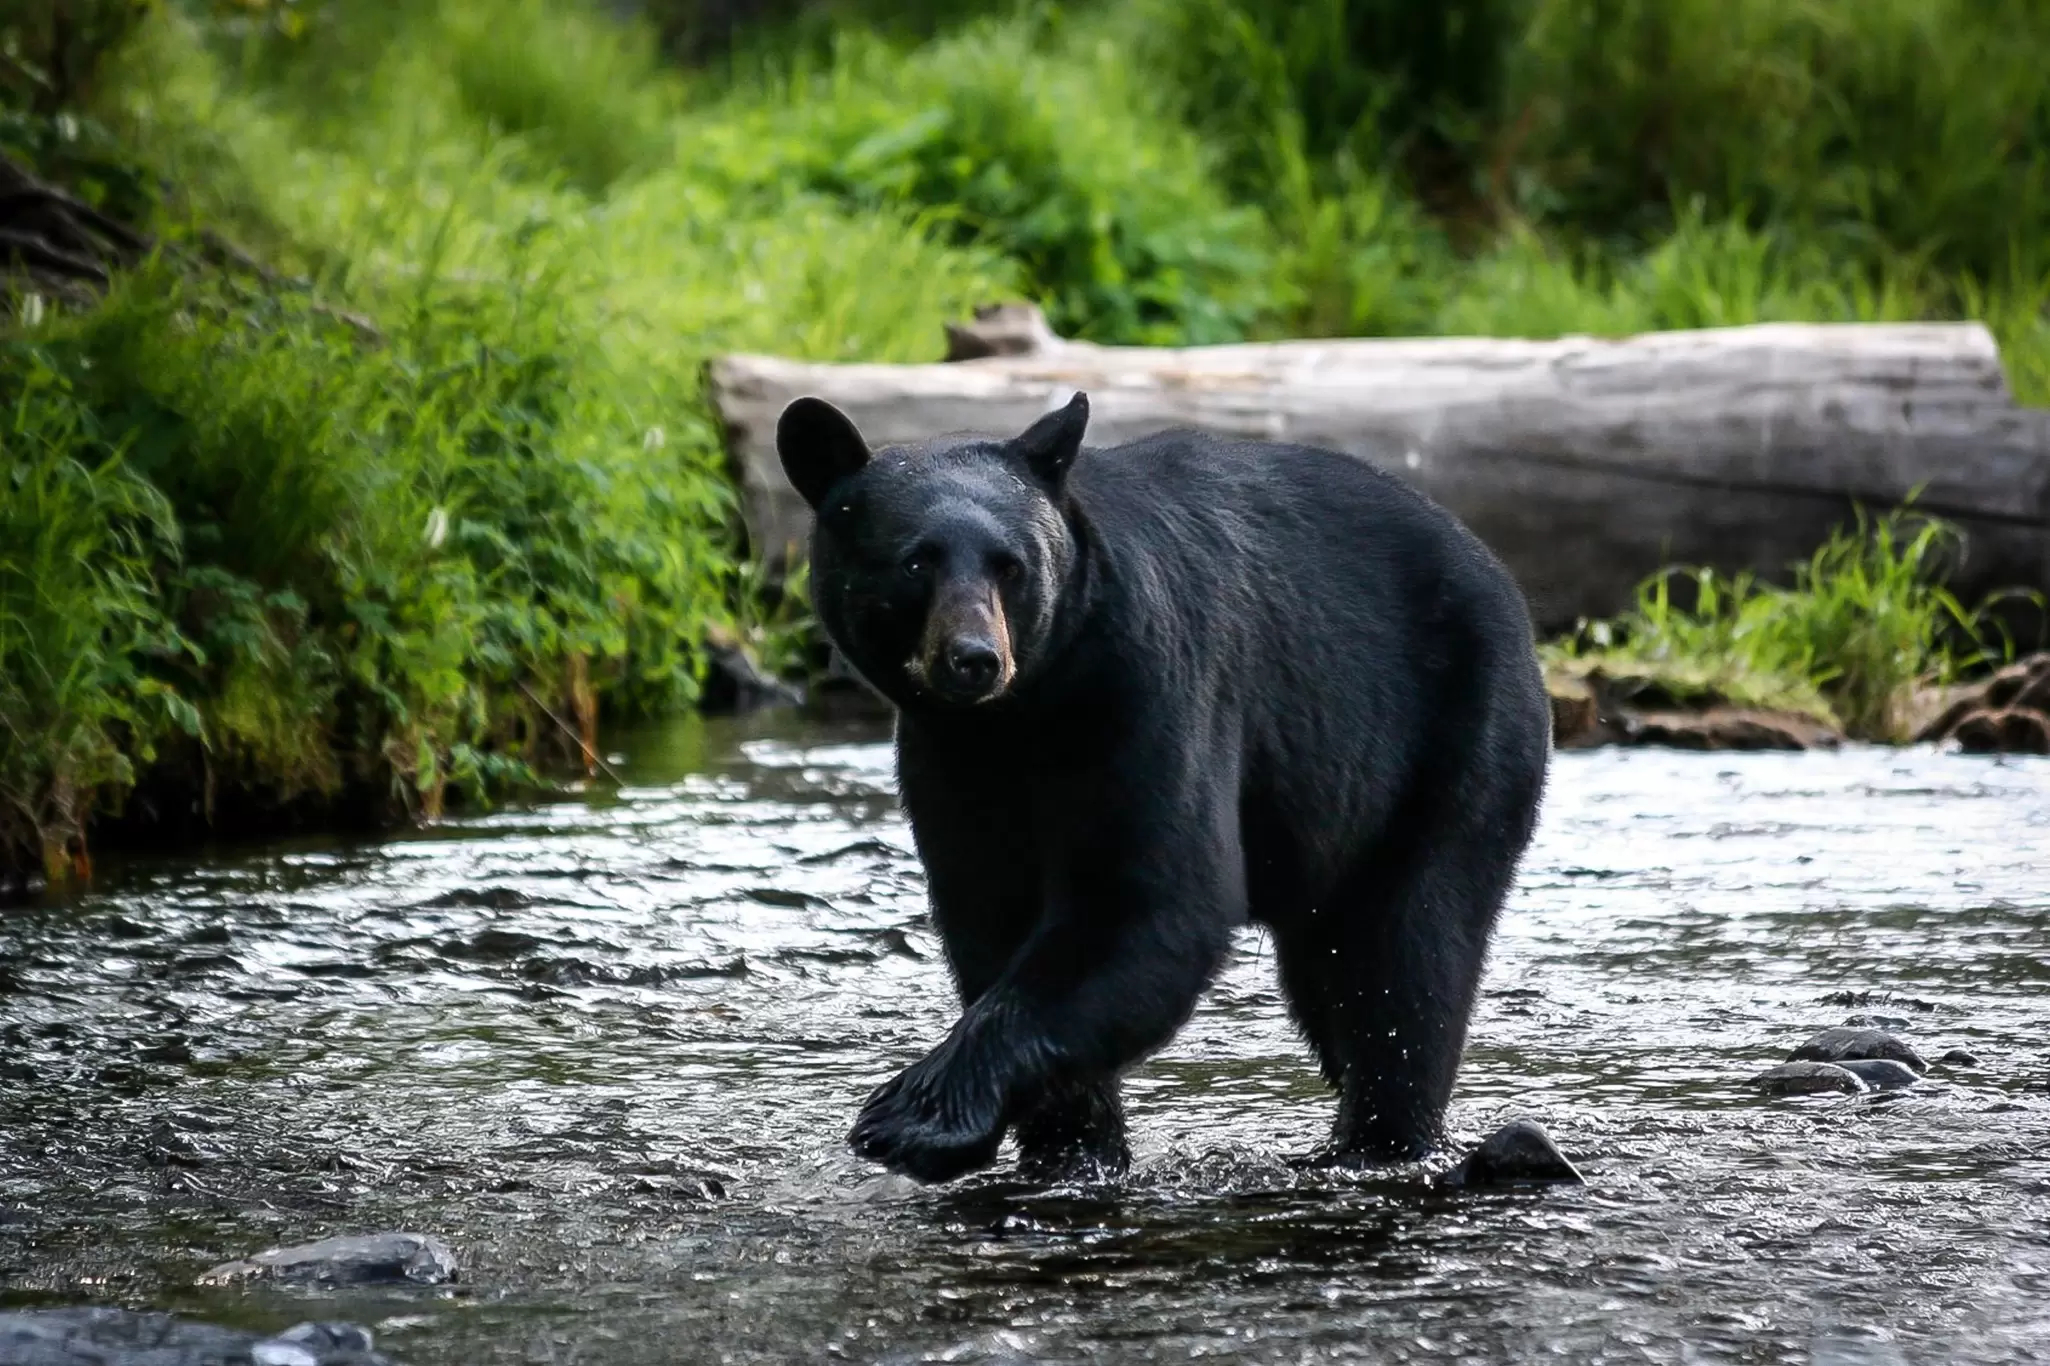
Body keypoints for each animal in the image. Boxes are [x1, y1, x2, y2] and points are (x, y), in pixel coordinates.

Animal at [775, 390, 1552, 1184]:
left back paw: (1383, 1142)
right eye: (915, 562)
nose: (975, 659)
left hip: (1454, 742)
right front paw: (1072, 1148)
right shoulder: (949, 760)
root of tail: (1496, 568)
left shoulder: (1149, 686)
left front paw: (913, 1116)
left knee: (1408, 958)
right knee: (1334, 975)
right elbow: (991, 914)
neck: (1030, 712)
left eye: (1011, 565)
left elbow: (1152, 902)